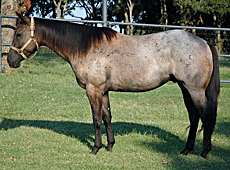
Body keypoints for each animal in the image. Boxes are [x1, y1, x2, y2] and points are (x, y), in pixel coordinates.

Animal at [6, 12, 219, 159]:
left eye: (19, 34)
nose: (10, 61)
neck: (86, 47)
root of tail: (204, 41)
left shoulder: (93, 90)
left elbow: (96, 119)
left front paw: (95, 149)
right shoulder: (104, 91)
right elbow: (107, 117)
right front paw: (110, 146)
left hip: (194, 90)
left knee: (205, 116)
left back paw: (204, 152)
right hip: (185, 88)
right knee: (194, 117)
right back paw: (186, 150)